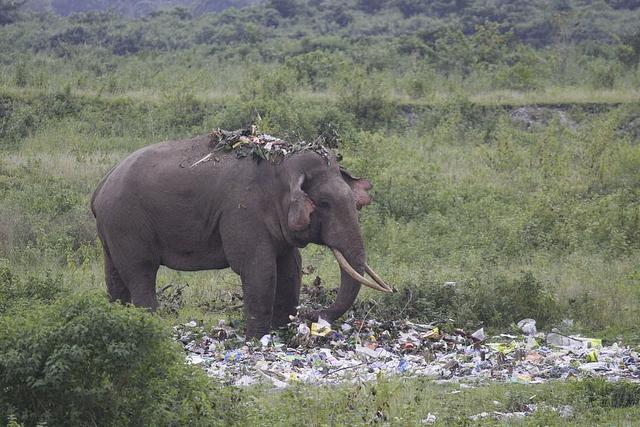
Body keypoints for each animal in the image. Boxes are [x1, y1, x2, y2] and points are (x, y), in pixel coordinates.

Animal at [90, 134, 390, 338]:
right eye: (325, 204)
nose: (311, 314)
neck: (281, 164)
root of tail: (101, 185)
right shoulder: (243, 210)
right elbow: (259, 269)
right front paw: (258, 340)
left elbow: (291, 267)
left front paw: (282, 332)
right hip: (126, 222)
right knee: (141, 273)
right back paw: (151, 328)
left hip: (111, 229)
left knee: (115, 277)